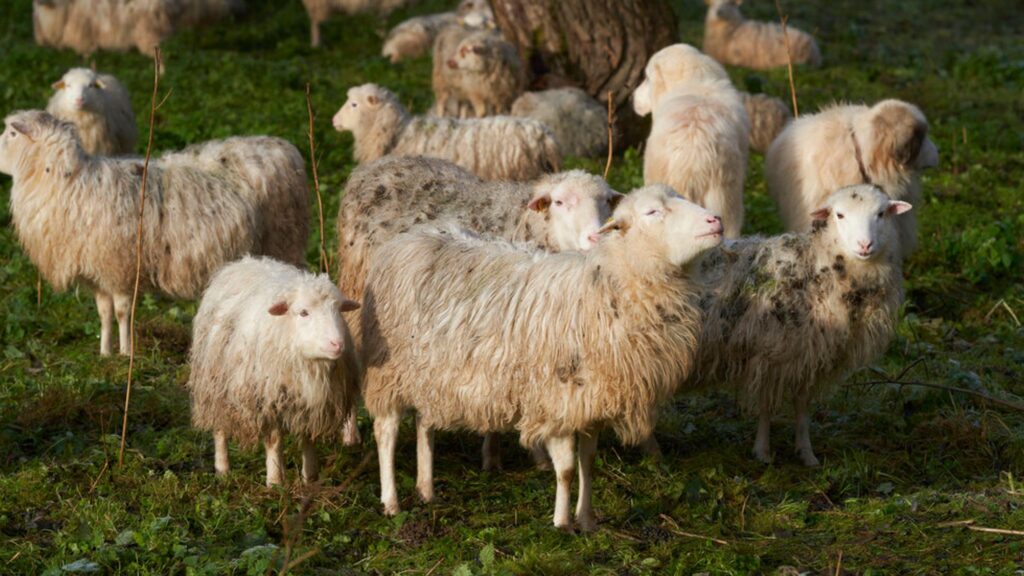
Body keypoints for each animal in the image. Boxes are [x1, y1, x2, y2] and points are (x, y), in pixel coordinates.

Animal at [0, 110, 309, 357]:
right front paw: (105, 352)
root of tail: (284, 148)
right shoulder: (99, 270)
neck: (69, 182)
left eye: (12, 132)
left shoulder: (120, 266)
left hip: (283, 240)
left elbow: (122, 311)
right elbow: (104, 312)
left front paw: (126, 352)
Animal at [188, 256, 360, 487]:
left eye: (339, 310)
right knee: (220, 427)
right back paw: (222, 468)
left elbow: (308, 439)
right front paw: (275, 481)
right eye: (303, 312)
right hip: (215, 383)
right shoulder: (267, 400)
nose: (337, 344)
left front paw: (310, 478)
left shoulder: (312, 404)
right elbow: (274, 441)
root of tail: (244, 261)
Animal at [334, 155, 623, 456]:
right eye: (559, 202)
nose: (595, 237)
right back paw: (350, 433)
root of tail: (377, 164)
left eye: (606, 201)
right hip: (362, 293)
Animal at [360, 184, 724, 530]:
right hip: (388, 371)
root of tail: (408, 238)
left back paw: (426, 489)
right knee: (386, 432)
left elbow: (588, 463)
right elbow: (566, 469)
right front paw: (562, 523)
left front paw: (587, 521)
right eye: (652, 212)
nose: (716, 221)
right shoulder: (556, 400)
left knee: (425, 424)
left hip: (429, 372)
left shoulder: (590, 402)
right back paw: (391, 502)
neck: (610, 286)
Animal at [691, 184, 910, 466]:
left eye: (881, 213)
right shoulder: (771, 351)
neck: (816, 263)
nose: (865, 245)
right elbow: (767, 404)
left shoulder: (808, 355)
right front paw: (762, 452)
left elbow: (803, 406)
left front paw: (806, 453)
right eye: (839, 215)